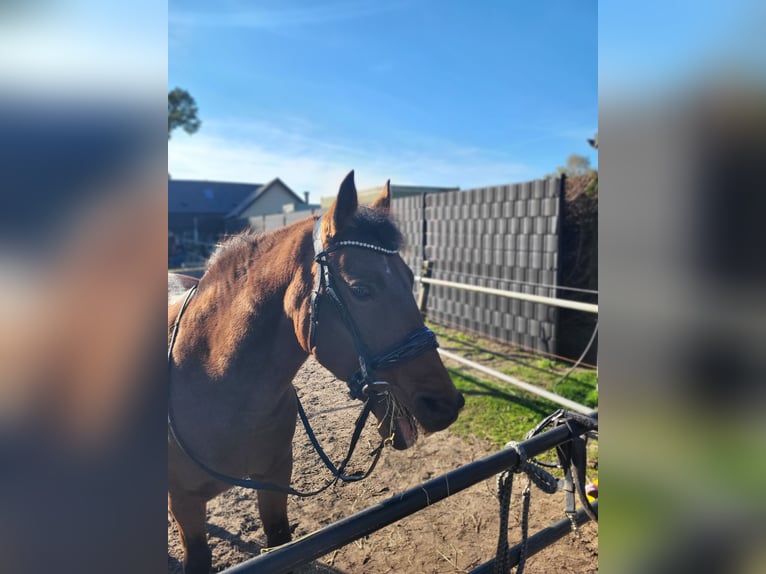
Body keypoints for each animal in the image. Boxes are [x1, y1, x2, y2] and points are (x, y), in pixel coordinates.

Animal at [168, 172, 464, 574]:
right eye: (361, 289)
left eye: (409, 279)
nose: (445, 404)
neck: (215, 391)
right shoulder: (184, 506)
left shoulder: (274, 483)